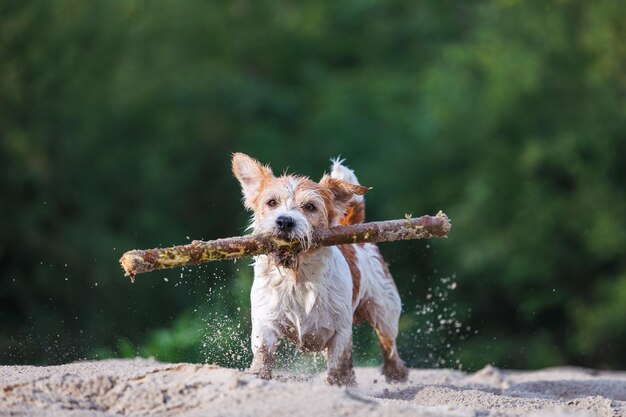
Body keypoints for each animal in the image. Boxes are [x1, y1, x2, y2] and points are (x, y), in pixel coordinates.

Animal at [232, 152, 408, 384]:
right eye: (272, 202)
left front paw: (340, 384)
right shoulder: (266, 321)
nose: (284, 222)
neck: (298, 276)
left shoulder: (341, 332)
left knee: (389, 345)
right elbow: (263, 350)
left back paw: (396, 374)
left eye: (310, 207)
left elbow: (339, 365)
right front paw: (258, 374)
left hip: (385, 311)